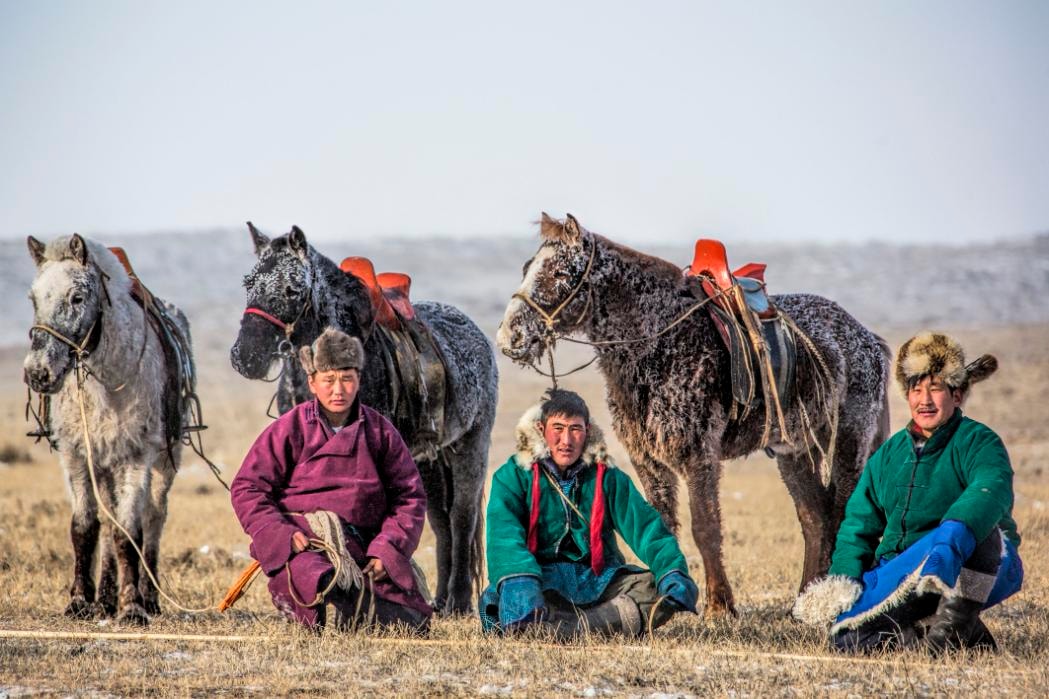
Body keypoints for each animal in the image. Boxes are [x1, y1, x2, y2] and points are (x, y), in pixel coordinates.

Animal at [23, 234, 191, 621]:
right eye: (34, 298)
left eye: (77, 297)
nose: (38, 373)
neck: (107, 380)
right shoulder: (76, 454)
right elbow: (85, 527)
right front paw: (81, 601)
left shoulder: (136, 456)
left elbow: (129, 530)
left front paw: (132, 606)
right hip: (104, 466)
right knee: (109, 517)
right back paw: (105, 597)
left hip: (165, 460)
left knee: (153, 518)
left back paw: (148, 597)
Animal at [495, 214, 889, 617]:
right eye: (528, 268)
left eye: (560, 272)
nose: (510, 337)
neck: (656, 343)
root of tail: (867, 339)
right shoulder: (648, 460)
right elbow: (661, 525)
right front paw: (663, 600)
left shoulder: (699, 455)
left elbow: (705, 526)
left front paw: (719, 607)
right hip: (794, 452)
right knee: (815, 518)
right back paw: (803, 602)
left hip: (848, 441)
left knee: (840, 511)